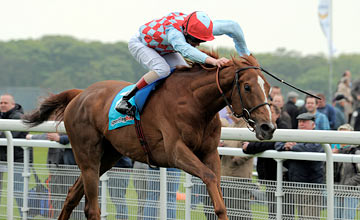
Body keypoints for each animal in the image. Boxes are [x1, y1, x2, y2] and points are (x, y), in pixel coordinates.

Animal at [22, 52, 276, 219]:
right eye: (247, 87)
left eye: (268, 87)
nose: (268, 127)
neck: (195, 103)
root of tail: (79, 93)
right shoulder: (175, 152)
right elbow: (209, 178)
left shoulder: (210, 152)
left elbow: (219, 194)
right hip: (87, 155)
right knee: (91, 207)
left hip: (109, 156)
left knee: (72, 197)